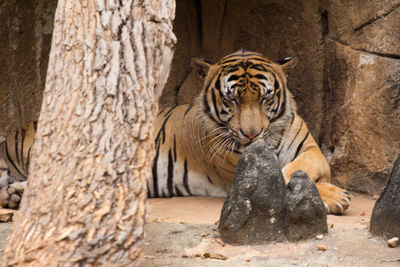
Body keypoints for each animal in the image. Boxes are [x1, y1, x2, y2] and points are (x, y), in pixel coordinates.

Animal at [149, 49, 350, 216]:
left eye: (265, 98)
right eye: (231, 99)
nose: (251, 134)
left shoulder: (312, 151)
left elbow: (300, 166)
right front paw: (336, 196)